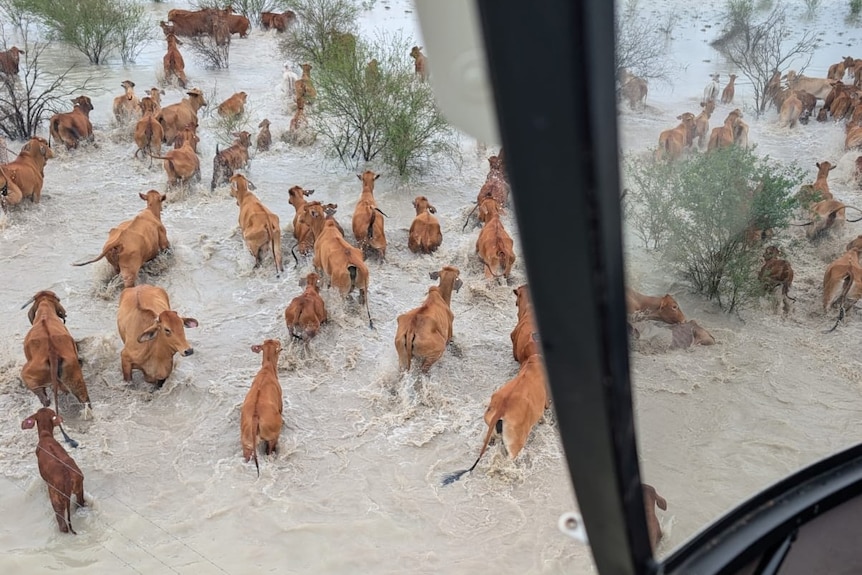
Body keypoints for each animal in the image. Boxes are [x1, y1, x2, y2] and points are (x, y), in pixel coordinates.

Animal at [21, 290, 92, 419]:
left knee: (31, 383)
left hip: (30, 370)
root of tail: (52, 353)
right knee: (82, 396)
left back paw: (44, 399)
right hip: (72, 370)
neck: (45, 308)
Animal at [240, 339, 284, 475]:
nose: (278, 339)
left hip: (247, 442)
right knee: (270, 449)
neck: (267, 367)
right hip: (273, 434)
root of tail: (255, 417)